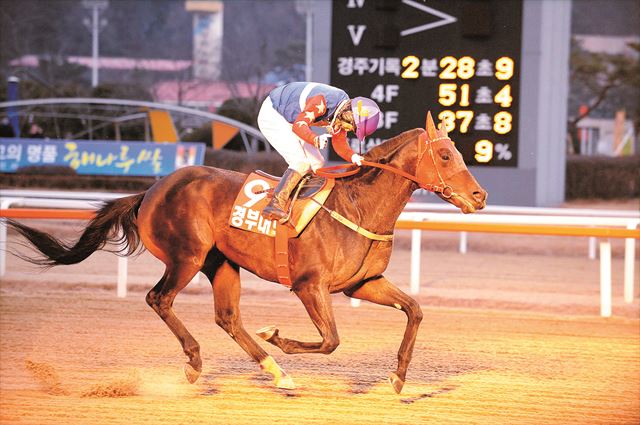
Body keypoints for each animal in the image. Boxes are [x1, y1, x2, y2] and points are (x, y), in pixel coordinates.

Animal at [5, 113, 488, 394]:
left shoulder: (363, 284)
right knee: (159, 299)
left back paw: (274, 370)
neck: (356, 206)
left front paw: (398, 376)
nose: (480, 196)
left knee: (227, 317)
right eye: (446, 155)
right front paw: (278, 336)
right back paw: (197, 362)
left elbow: (415, 310)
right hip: (187, 257)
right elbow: (331, 340)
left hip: (222, 263)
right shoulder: (309, 286)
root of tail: (151, 190)